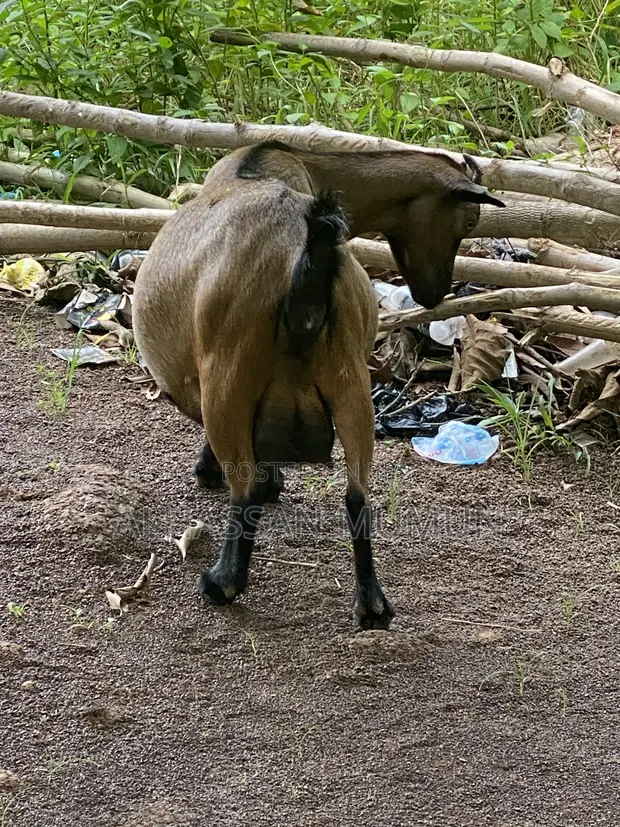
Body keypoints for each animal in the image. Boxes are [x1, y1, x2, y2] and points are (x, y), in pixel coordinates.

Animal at [132, 142, 504, 630]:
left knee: (245, 491)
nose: (436, 293)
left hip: (229, 377)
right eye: (468, 222)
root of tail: (302, 263)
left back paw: (222, 582)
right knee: (357, 497)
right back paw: (372, 606)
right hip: (351, 382)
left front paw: (211, 470)